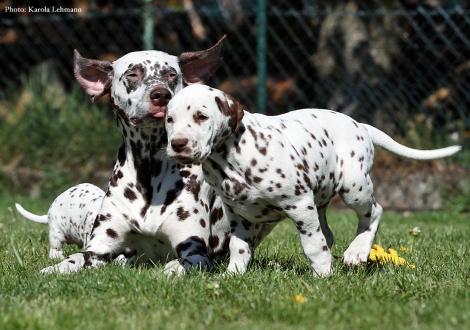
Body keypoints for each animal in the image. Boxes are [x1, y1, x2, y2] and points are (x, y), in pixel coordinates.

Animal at [41, 36, 232, 274]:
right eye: (132, 75)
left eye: (171, 75)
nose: (161, 94)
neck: (148, 171)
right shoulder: (98, 248)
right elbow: (76, 257)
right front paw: (56, 267)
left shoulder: (196, 252)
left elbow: (181, 264)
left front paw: (171, 269)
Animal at [164, 84, 458, 276]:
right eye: (169, 120)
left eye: (201, 116)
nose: (177, 144)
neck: (230, 159)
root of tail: (360, 125)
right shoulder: (240, 215)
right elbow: (239, 248)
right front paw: (232, 275)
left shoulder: (299, 205)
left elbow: (313, 245)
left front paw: (323, 275)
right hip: (322, 199)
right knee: (328, 232)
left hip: (354, 188)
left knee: (374, 212)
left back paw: (357, 252)